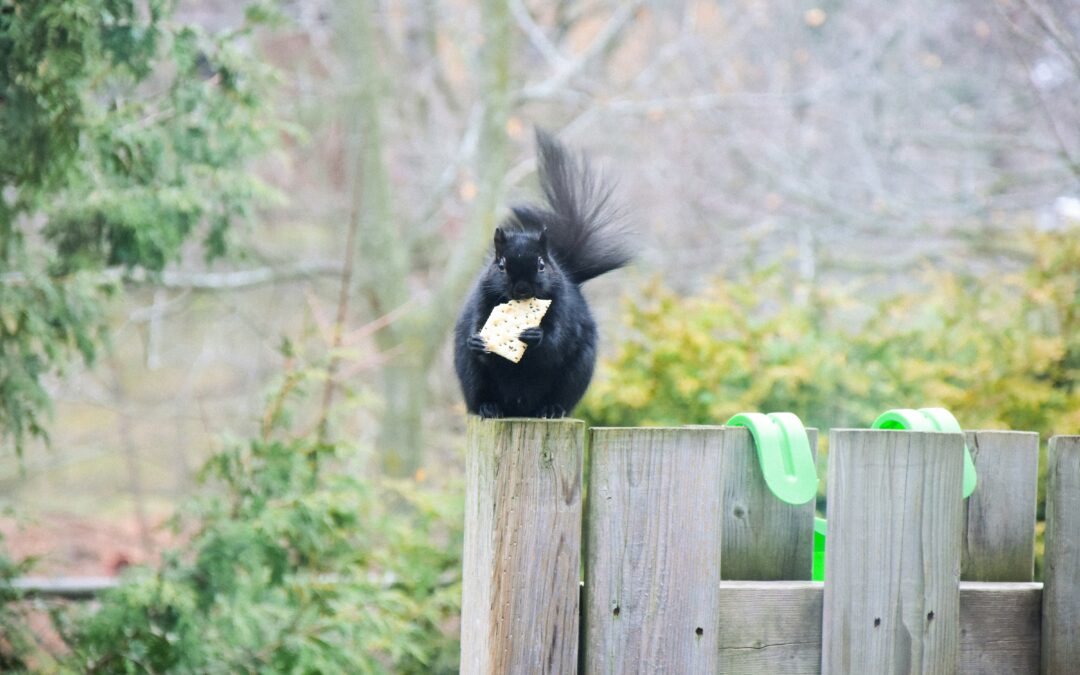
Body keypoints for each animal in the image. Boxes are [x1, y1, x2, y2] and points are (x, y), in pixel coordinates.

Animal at [453, 129, 632, 419]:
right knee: (479, 396)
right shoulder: (482, 298)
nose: (522, 289)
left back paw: (551, 409)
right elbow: (477, 324)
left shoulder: (565, 308)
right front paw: (478, 341)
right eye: (500, 265)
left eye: (540, 264)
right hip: (471, 377)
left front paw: (534, 337)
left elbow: (558, 341)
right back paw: (489, 407)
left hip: (575, 375)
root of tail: (519, 408)